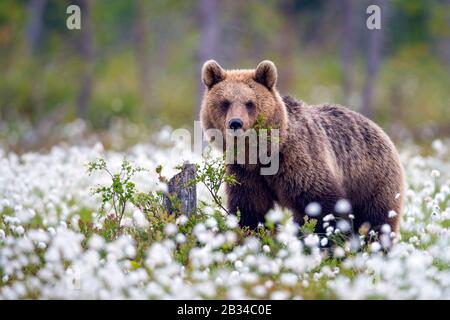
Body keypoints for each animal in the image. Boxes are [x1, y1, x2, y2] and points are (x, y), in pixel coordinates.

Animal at [200, 59, 404, 235]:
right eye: (225, 102)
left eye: (250, 103)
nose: (235, 123)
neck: (261, 153)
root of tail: (379, 128)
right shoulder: (245, 173)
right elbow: (250, 208)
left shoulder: (297, 162)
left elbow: (320, 207)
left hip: (372, 180)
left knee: (376, 220)